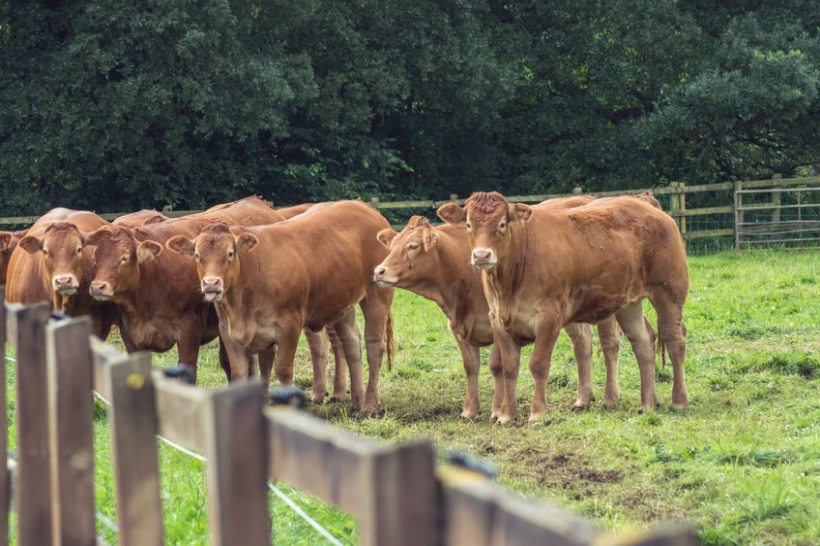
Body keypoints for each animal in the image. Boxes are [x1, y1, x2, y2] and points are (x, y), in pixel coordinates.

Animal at [165, 200, 392, 412]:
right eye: (197, 255)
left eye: (230, 253)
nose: (211, 283)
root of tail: (362, 205)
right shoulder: (229, 331)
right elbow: (242, 372)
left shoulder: (290, 324)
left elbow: (282, 369)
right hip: (342, 303)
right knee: (352, 345)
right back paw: (357, 401)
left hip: (377, 295)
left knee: (374, 345)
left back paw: (370, 405)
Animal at [374, 200, 624, 416]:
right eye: (392, 246)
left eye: (413, 246)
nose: (379, 270)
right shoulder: (459, 328)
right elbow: (471, 367)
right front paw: (470, 410)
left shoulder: (495, 322)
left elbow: (497, 366)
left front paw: (497, 409)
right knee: (582, 343)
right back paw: (583, 398)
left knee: (610, 344)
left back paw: (610, 398)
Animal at [438, 191, 688, 420]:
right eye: (468, 224)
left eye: (501, 224)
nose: (481, 255)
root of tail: (645, 202)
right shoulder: (497, 318)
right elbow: (509, 367)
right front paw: (507, 415)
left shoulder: (549, 317)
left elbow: (538, 364)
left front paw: (538, 413)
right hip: (629, 303)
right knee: (642, 342)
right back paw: (647, 403)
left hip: (669, 292)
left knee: (674, 341)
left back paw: (679, 400)